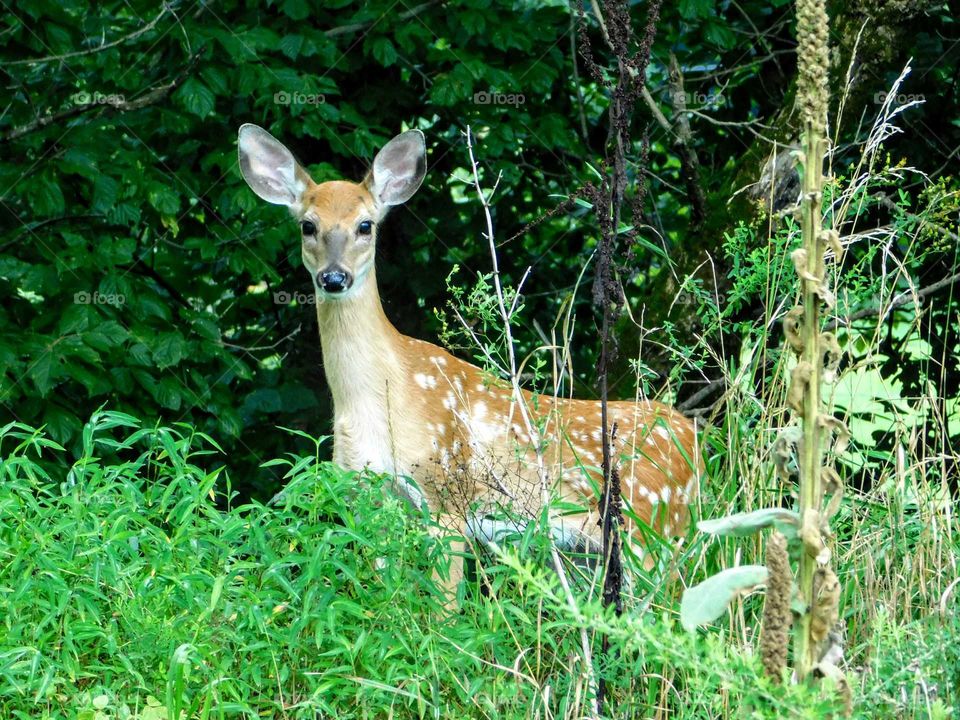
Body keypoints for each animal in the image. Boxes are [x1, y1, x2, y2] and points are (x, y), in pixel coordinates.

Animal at [237, 123, 701, 595]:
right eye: (308, 226)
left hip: (653, 535)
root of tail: (696, 442)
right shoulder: (371, 496)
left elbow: (443, 607)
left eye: (365, 225)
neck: (377, 398)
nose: (334, 277)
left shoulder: (449, 495)